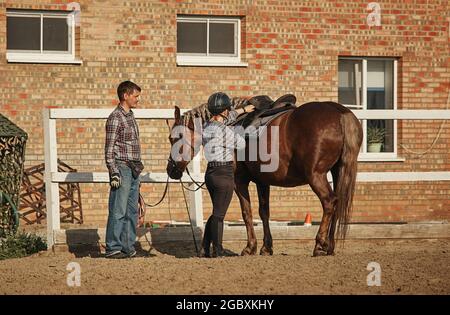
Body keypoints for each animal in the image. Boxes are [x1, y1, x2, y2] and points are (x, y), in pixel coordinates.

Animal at [167, 99, 364, 256]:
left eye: (174, 137)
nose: (171, 170)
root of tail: (339, 112)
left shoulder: (239, 181)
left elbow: (247, 213)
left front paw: (250, 247)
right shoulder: (263, 181)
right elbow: (264, 213)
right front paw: (266, 247)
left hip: (316, 176)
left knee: (329, 202)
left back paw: (319, 245)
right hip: (337, 172)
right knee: (337, 203)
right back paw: (330, 246)